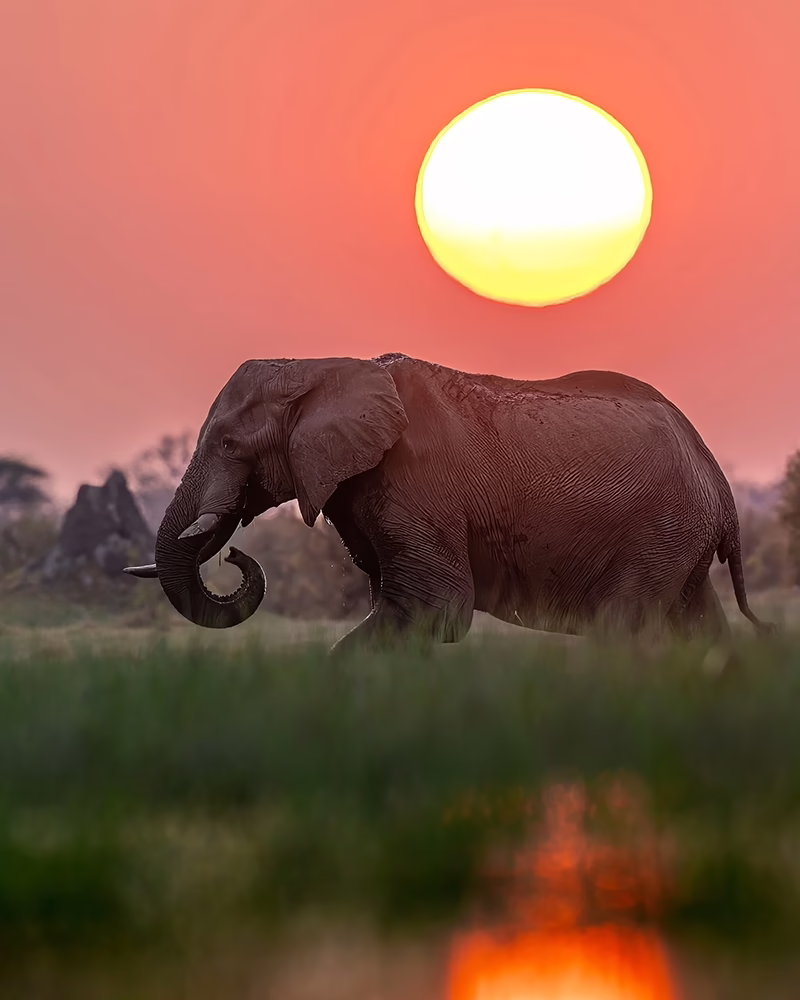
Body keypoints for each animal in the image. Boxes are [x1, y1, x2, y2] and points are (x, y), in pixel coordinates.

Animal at [124, 353, 773, 654]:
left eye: (228, 444)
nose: (234, 555)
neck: (324, 367)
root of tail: (717, 475)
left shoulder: (416, 485)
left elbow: (438, 608)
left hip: (659, 529)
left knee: (624, 628)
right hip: (678, 538)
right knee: (699, 628)